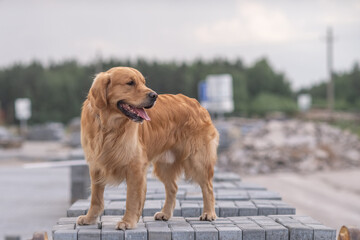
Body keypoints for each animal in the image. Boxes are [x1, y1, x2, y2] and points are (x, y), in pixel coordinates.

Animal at [77, 66, 218, 229]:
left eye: (143, 82)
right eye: (130, 83)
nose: (154, 95)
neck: (109, 127)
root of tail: (197, 103)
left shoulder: (135, 167)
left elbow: (132, 199)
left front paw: (127, 221)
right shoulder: (96, 165)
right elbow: (96, 197)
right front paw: (89, 218)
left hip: (197, 160)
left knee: (208, 187)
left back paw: (209, 213)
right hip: (164, 165)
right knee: (173, 188)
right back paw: (165, 213)